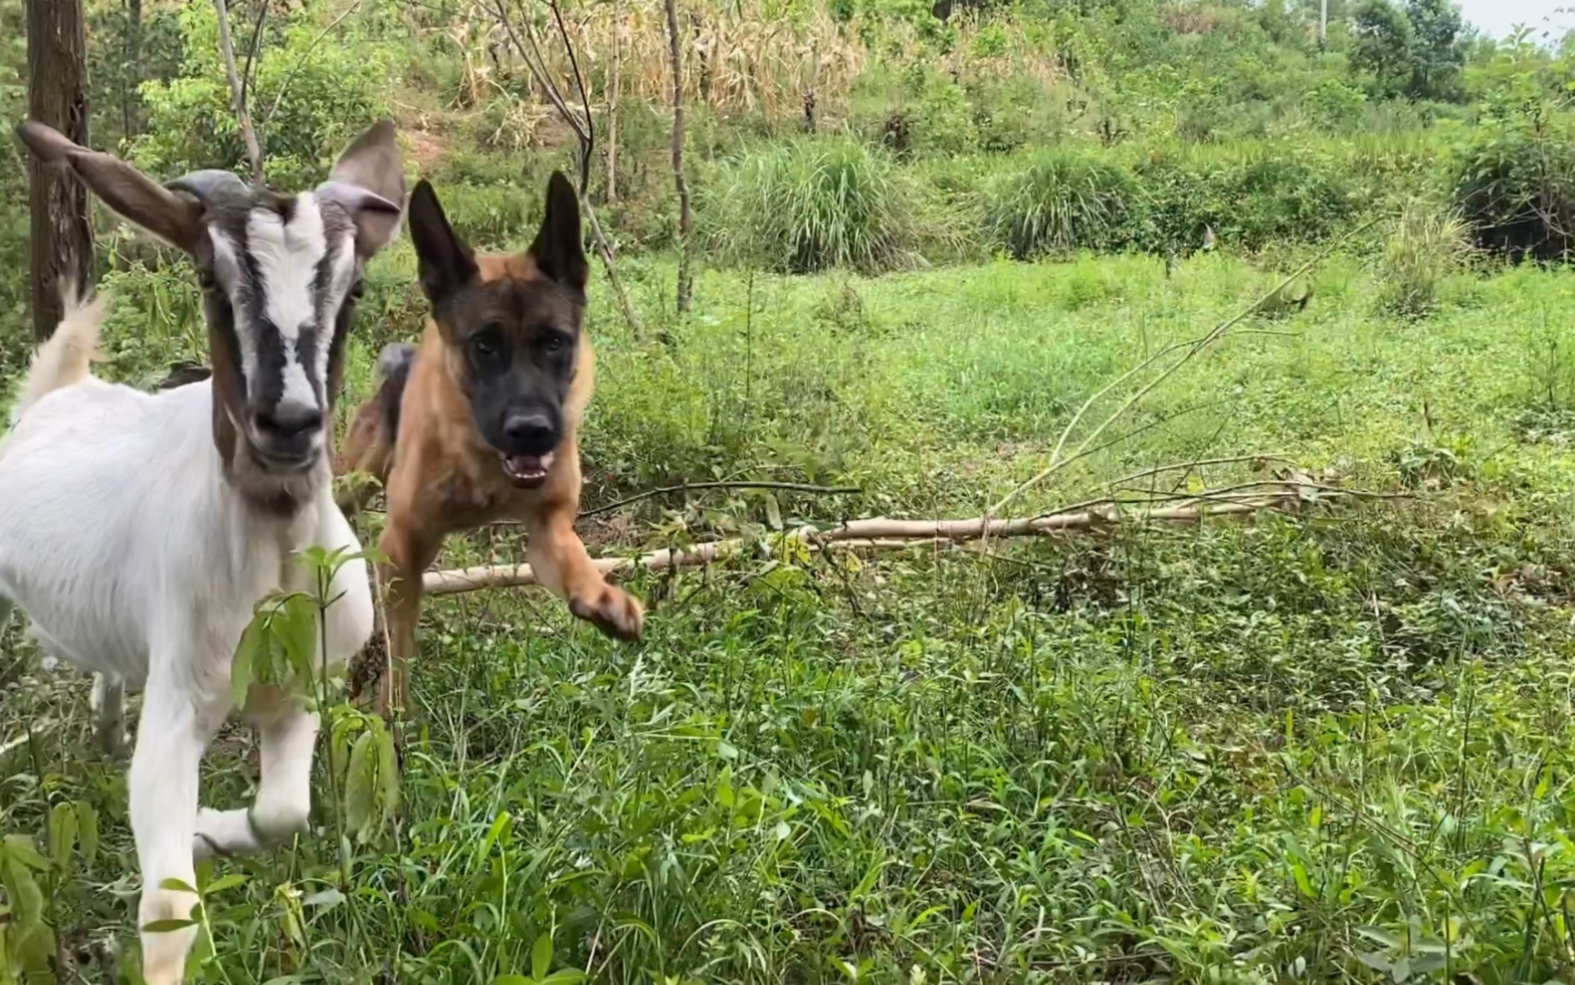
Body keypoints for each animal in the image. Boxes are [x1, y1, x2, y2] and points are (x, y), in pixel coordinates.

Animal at [1, 118, 406, 977]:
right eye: (210, 281)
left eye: (352, 289)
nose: (288, 423)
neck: (269, 558)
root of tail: (62, 389)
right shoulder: (181, 699)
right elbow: (168, 909)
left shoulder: (301, 690)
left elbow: (285, 811)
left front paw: (204, 829)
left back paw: (104, 722)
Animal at [341, 172, 642, 715]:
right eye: (484, 345)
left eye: (554, 341)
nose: (531, 430)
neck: (486, 468)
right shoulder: (401, 552)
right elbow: (398, 651)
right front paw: (390, 722)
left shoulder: (548, 530)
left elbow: (574, 556)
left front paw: (602, 595)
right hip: (352, 482)